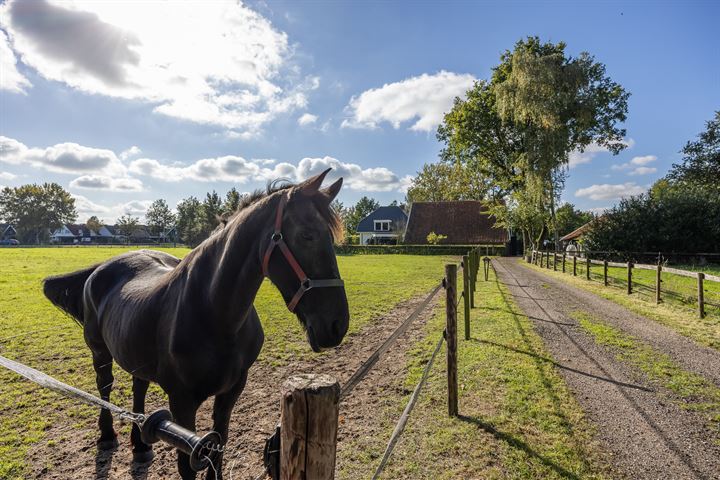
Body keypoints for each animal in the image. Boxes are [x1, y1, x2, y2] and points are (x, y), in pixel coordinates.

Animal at [42, 169, 352, 476]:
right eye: (307, 235)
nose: (337, 324)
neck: (214, 313)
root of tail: (100, 269)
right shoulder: (182, 403)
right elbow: (186, 467)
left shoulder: (231, 391)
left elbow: (219, 451)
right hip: (100, 352)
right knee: (104, 387)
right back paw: (107, 436)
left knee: (138, 388)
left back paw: (140, 446)